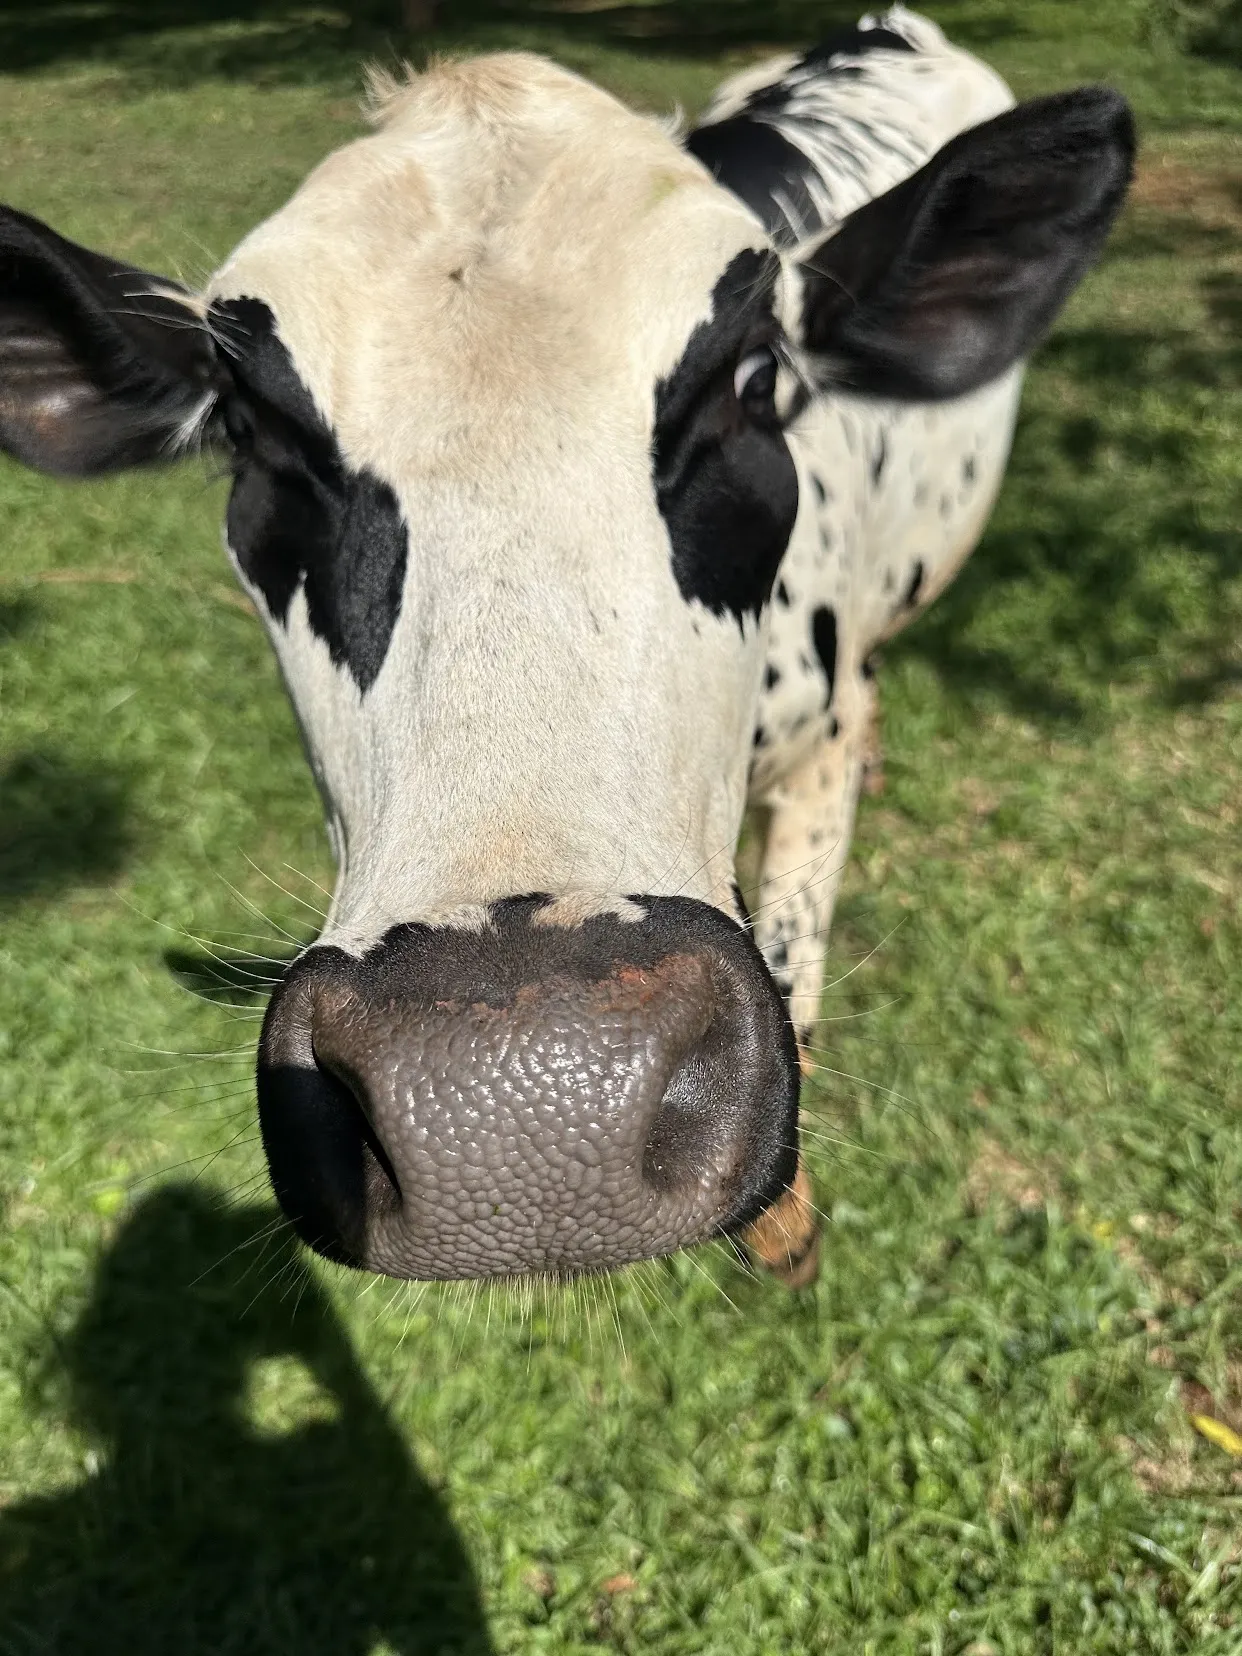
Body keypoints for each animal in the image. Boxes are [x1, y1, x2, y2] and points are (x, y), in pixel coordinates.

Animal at [0, 9, 1133, 1286]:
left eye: (757, 380)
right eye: (251, 434)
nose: (522, 1110)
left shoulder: (820, 740)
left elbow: (797, 945)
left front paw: (785, 1224)